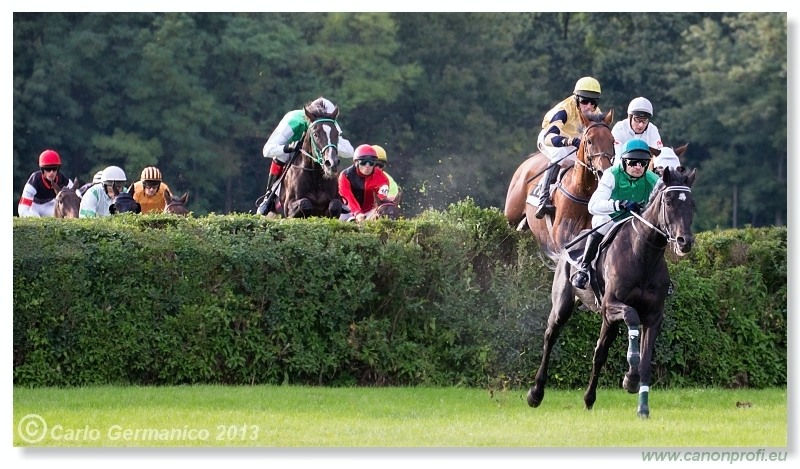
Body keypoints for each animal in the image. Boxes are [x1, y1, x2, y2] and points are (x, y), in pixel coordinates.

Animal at [504, 110, 616, 260]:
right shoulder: (560, 241)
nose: (603, 171)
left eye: (612, 140)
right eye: (589, 141)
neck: (582, 191)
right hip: (511, 217)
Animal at [528, 165, 696, 416]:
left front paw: (642, 407)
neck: (642, 256)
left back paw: (589, 399)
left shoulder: (653, 316)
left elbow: (645, 361)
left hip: (608, 322)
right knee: (551, 337)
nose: (685, 242)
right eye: (668, 201)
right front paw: (630, 377)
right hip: (564, 306)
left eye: (692, 204)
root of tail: (568, 244)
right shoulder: (610, 305)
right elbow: (632, 316)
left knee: (599, 353)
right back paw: (536, 393)